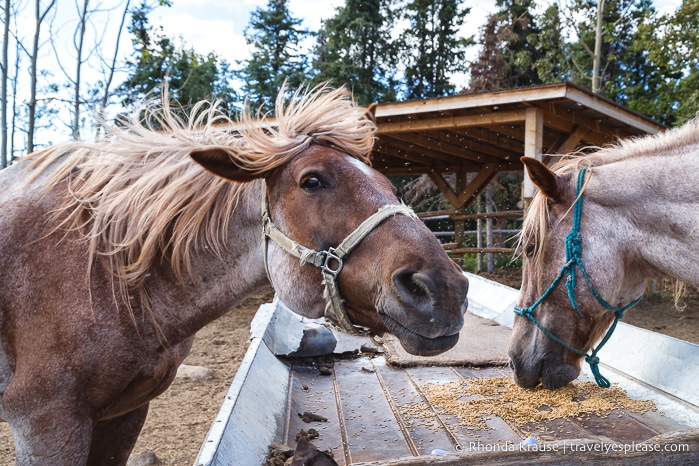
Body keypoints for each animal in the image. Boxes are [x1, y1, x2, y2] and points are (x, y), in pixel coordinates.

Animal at [2, 85, 470, 464]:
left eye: (389, 185)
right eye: (312, 181)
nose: (446, 290)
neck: (107, 276)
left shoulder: (126, 413)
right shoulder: (46, 424)